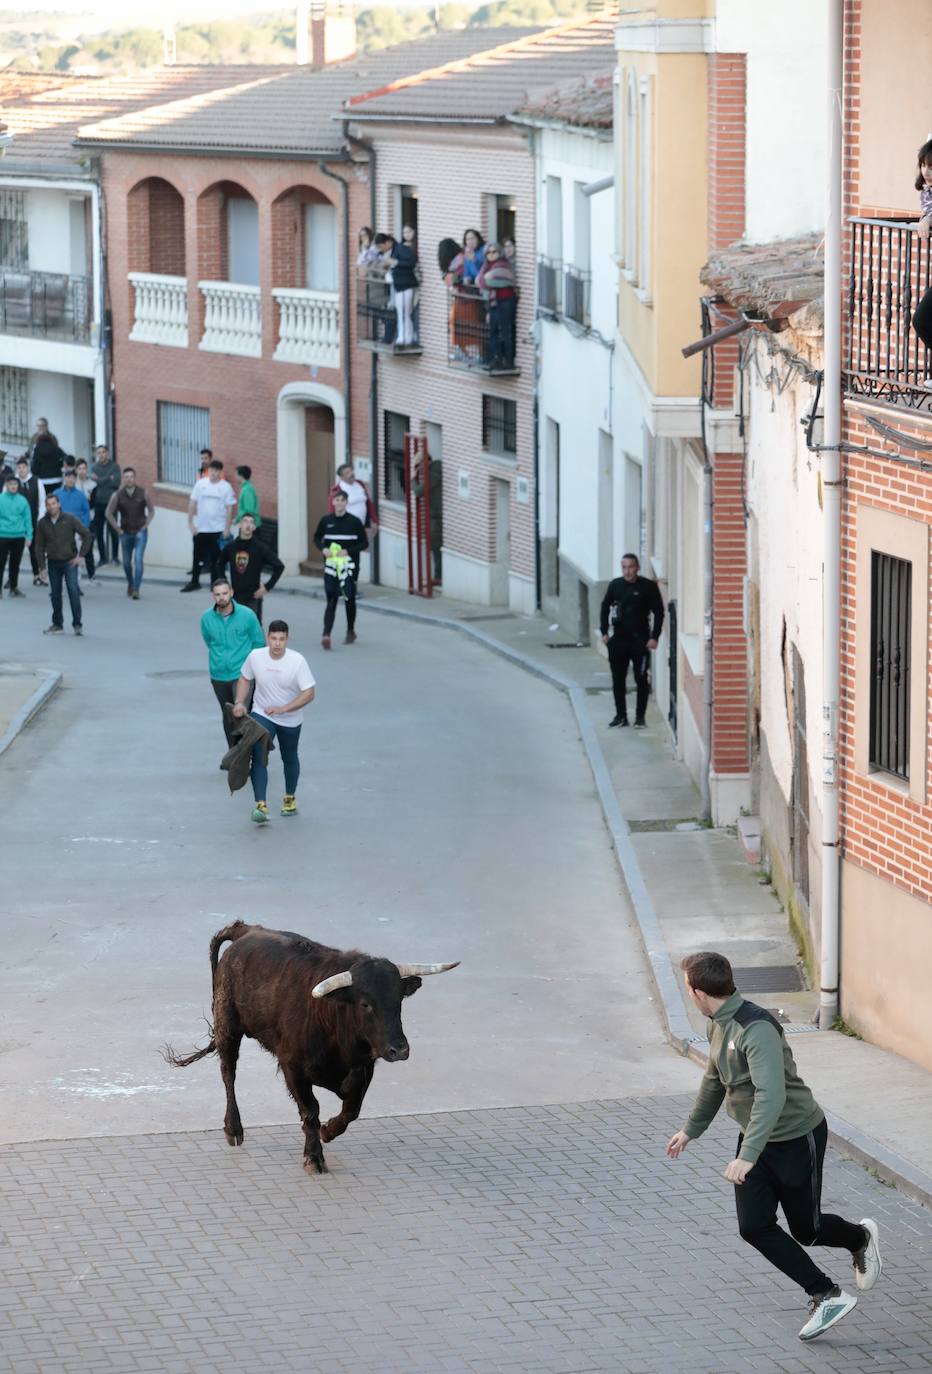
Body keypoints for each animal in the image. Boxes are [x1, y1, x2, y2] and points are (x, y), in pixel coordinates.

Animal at [169, 923, 464, 1170]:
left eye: (399, 1000)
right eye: (365, 1004)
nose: (399, 1050)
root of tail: (247, 929)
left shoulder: (364, 1067)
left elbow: (351, 1109)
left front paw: (328, 1131)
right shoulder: (292, 1067)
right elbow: (311, 1111)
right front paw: (313, 1156)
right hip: (227, 1026)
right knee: (228, 1072)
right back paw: (233, 1129)